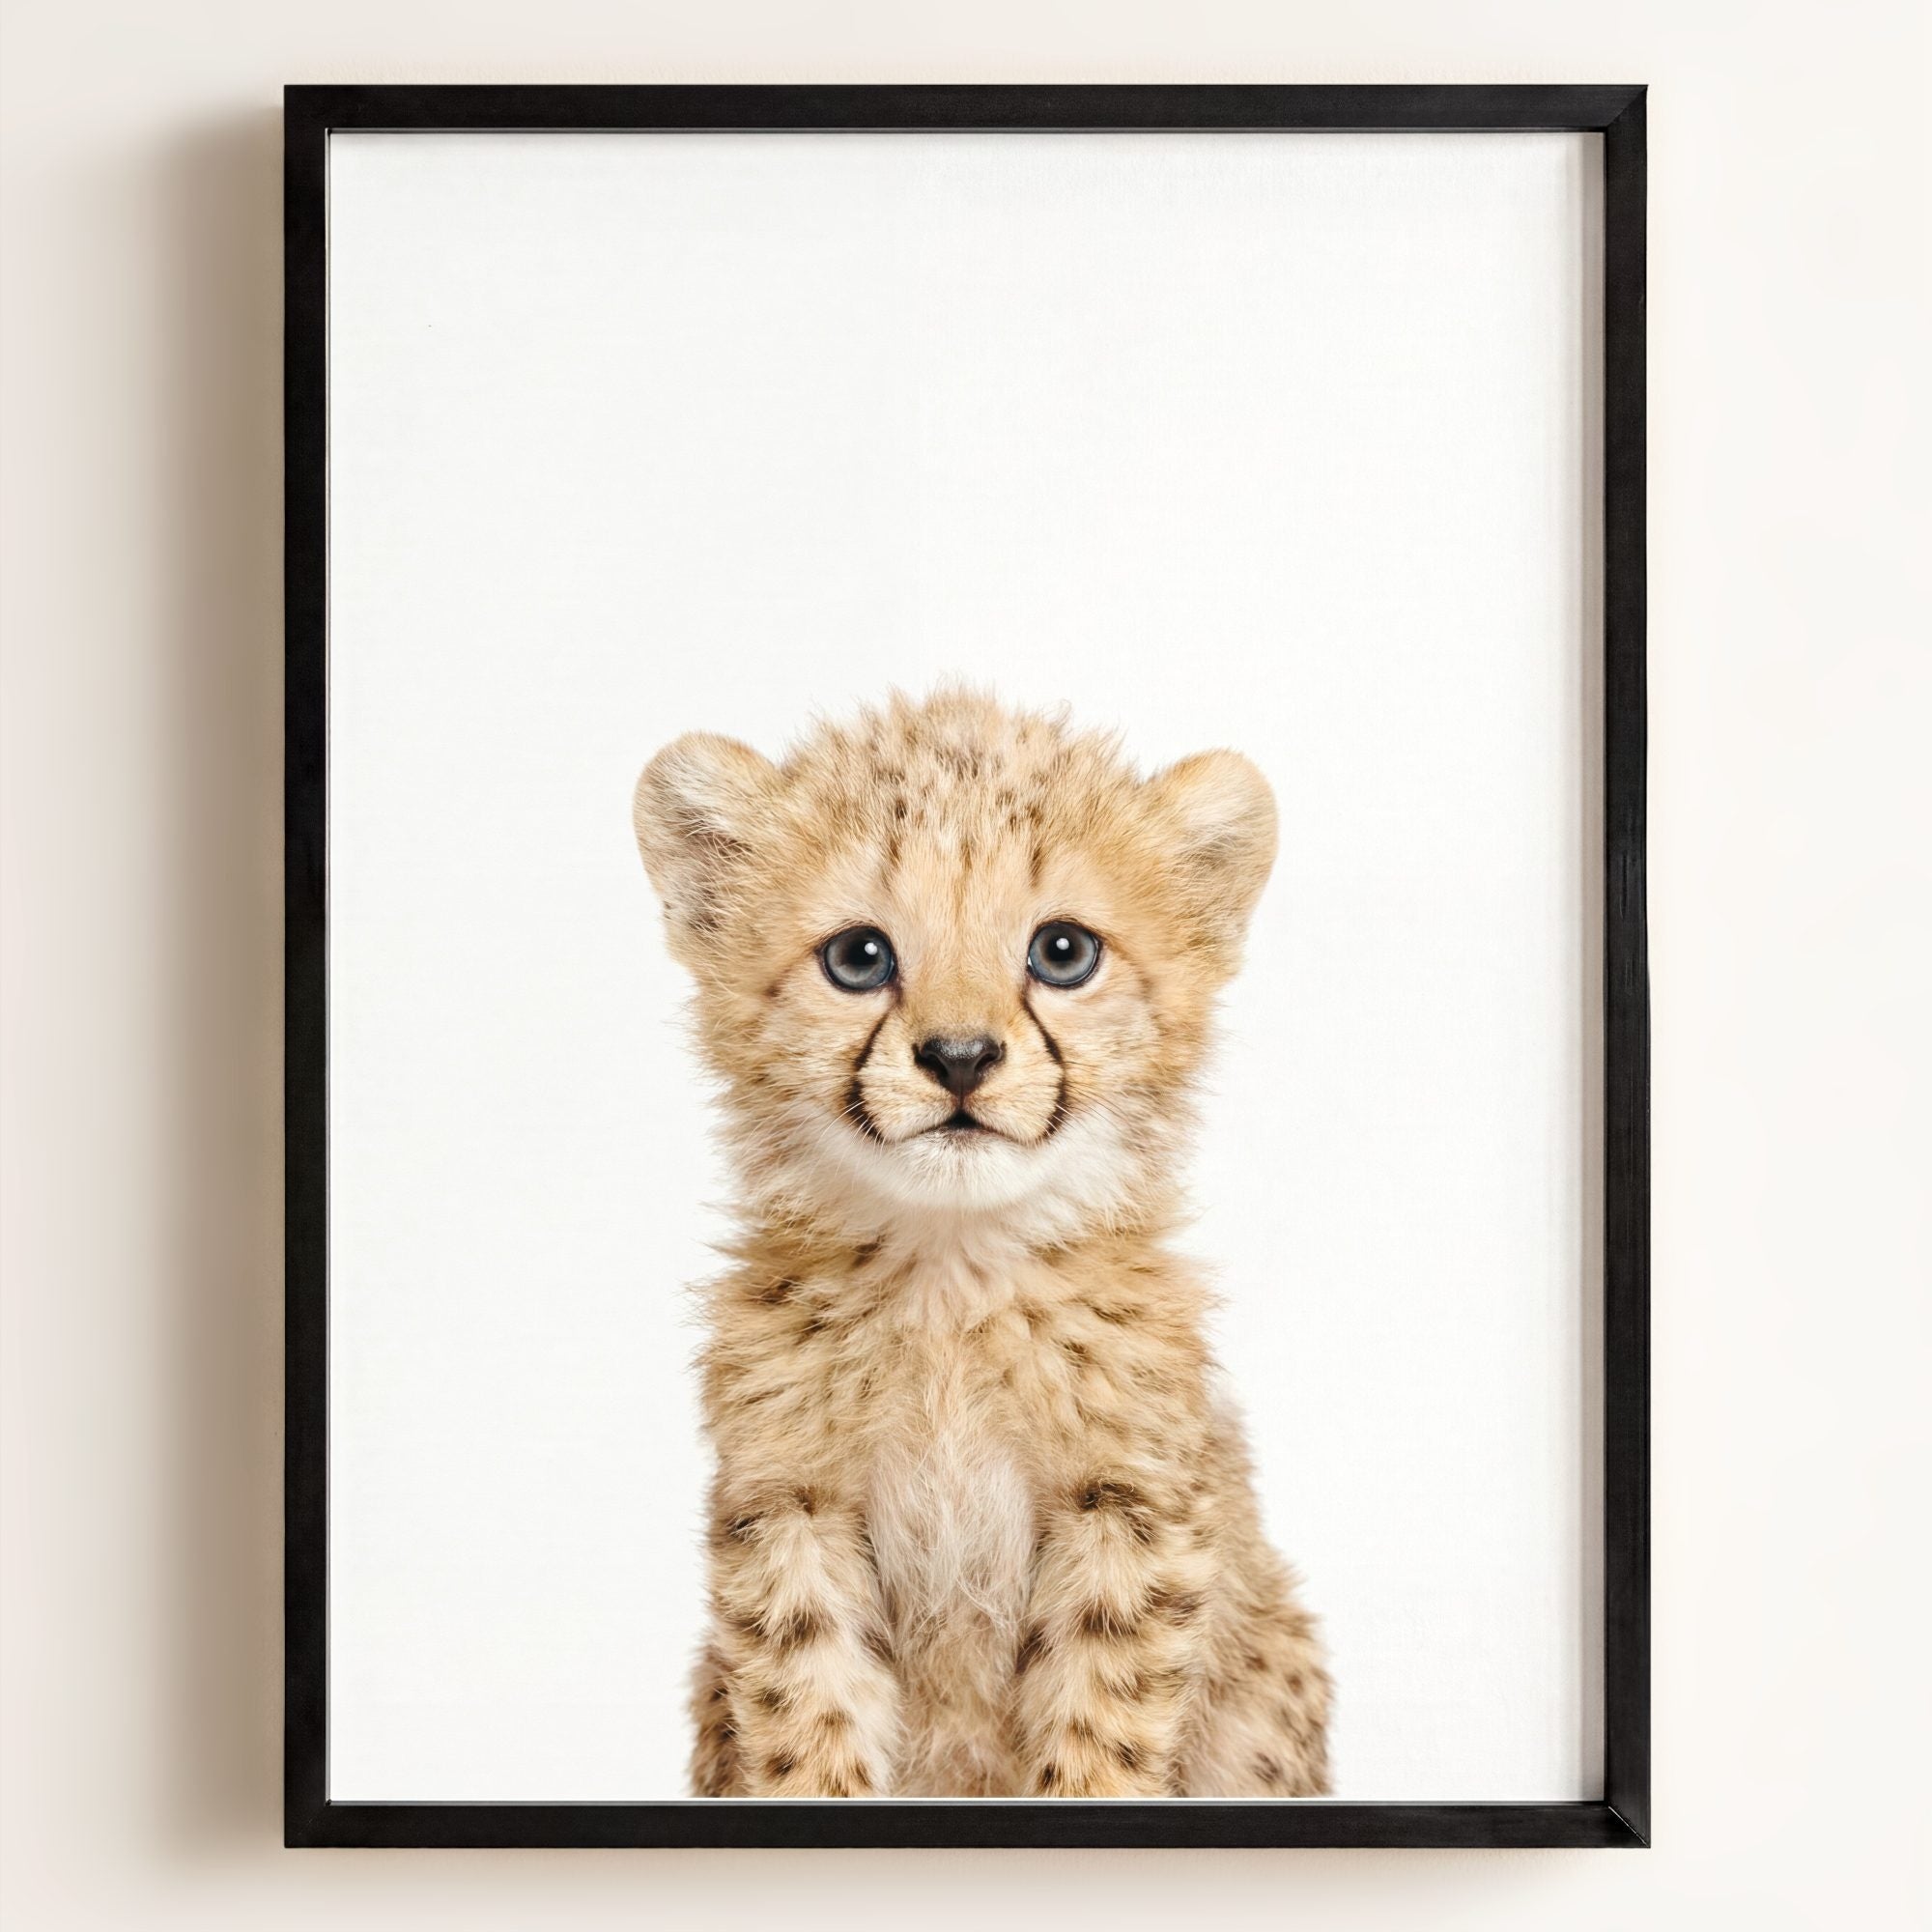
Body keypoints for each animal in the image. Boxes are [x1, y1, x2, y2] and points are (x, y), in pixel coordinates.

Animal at [632, 687, 1330, 1798]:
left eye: (1063, 952)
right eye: (859, 957)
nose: (959, 1057)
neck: (951, 1277)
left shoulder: (1127, 1508)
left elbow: (1099, 1730)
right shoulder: (790, 1510)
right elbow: (807, 1719)